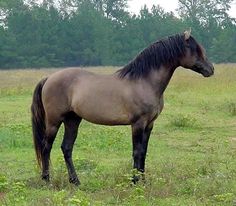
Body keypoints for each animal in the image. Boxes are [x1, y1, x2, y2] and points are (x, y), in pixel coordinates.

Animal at [30, 30, 214, 185]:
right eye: (195, 49)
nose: (211, 69)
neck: (144, 82)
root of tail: (49, 78)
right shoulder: (138, 124)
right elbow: (137, 152)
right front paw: (134, 181)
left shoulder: (149, 124)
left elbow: (144, 152)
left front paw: (143, 181)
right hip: (54, 121)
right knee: (46, 147)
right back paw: (47, 180)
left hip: (72, 120)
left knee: (66, 148)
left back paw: (75, 181)